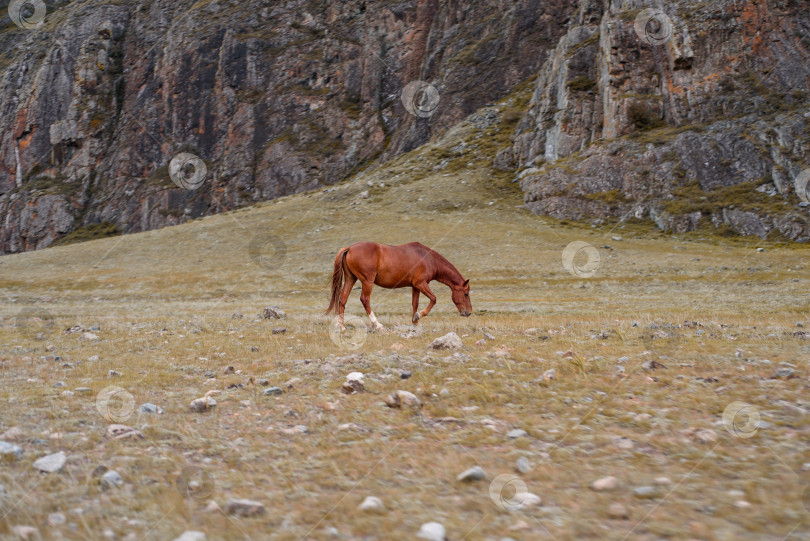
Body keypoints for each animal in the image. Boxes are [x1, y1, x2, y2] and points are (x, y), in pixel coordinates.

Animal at [326, 242, 470, 330]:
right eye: (466, 294)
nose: (468, 312)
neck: (428, 259)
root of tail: (349, 248)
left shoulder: (415, 286)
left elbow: (415, 303)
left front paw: (415, 322)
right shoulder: (421, 284)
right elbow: (433, 299)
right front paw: (419, 316)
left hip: (351, 279)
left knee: (343, 298)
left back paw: (342, 326)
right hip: (367, 281)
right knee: (364, 299)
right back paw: (377, 324)